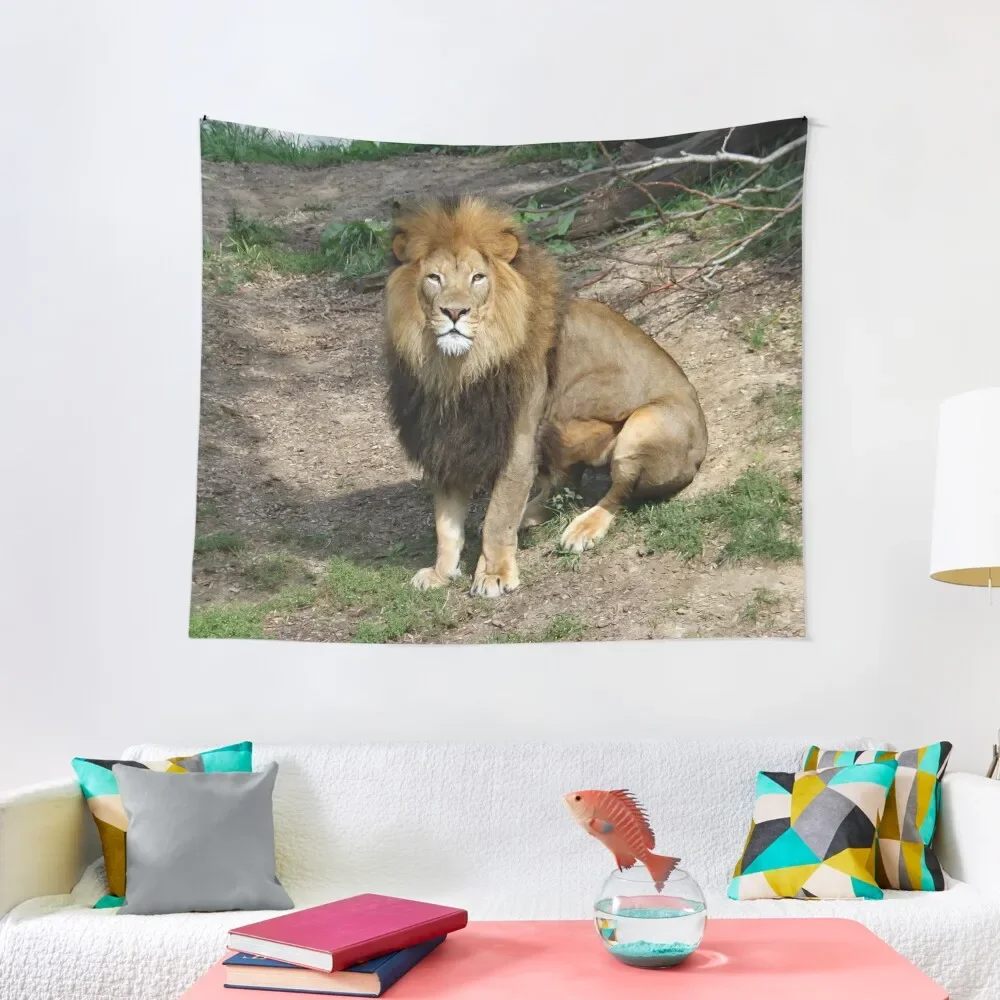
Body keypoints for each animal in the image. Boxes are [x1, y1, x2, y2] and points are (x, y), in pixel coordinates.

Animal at [385, 195, 707, 598]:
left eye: (478, 278)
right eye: (434, 278)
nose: (454, 312)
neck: (456, 370)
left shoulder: (518, 442)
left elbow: (498, 516)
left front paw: (493, 574)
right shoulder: (446, 443)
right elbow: (446, 525)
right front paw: (441, 573)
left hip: (646, 424)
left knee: (621, 491)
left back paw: (582, 528)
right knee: (565, 481)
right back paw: (532, 514)